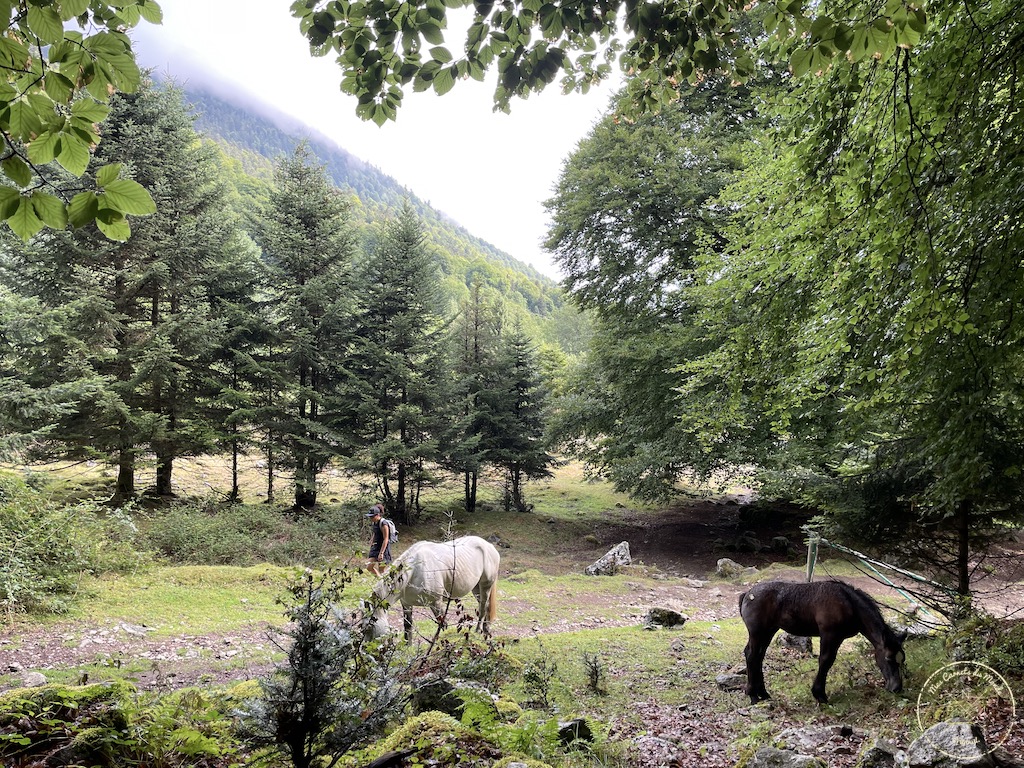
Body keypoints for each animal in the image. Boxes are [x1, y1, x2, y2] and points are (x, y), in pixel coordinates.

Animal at [368, 536, 499, 647]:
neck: (414, 570)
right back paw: (485, 629)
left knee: (484, 606)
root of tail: (489, 546)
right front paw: (407, 645)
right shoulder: (406, 604)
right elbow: (408, 625)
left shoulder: (436, 603)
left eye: (370, 626)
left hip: (485, 585)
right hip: (476, 588)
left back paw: (480, 630)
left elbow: (443, 625)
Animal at [737, 581, 905, 704]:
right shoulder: (829, 634)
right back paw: (753, 696)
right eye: (889, 658)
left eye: (902, 660)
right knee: (751, 655)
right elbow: (825, 661)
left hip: (769, 631)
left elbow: (828, 661)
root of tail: (747, 594)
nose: (896, 688)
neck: (848, 602)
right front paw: (820, 695)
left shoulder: (838, 637)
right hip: (757, 632)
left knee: (758, 656)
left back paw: (763, 693)